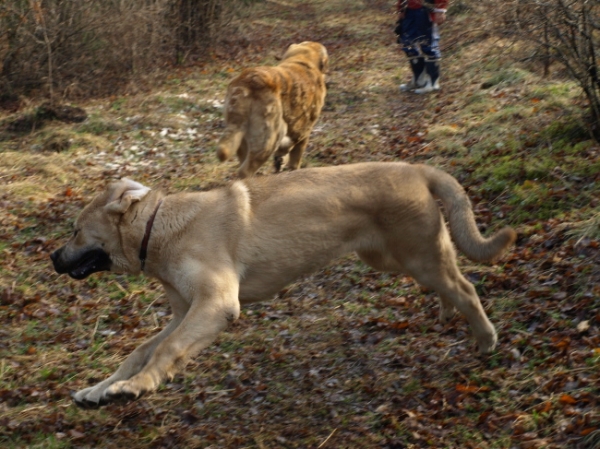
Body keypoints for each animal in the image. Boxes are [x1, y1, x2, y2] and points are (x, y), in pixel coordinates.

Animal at [50, 161, 516, 406]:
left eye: (75, 232)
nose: (52, 258)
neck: (159, 229)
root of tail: (416, 169)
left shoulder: (215, 305)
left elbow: (166, 351)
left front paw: (137, 387)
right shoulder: (183, 313)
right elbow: (139, 352)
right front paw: (99, 388)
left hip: (418, 256)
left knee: (465, 288)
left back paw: (486, 339)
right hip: (392, 258)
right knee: (449, 285)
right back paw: (448, 315)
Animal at [217, 40, 328, 177]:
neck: (302, 60)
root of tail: (246, 84)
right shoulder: (304, 131)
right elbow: (295, 157)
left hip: (241, 137)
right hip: (271, 137)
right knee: (245, 171)